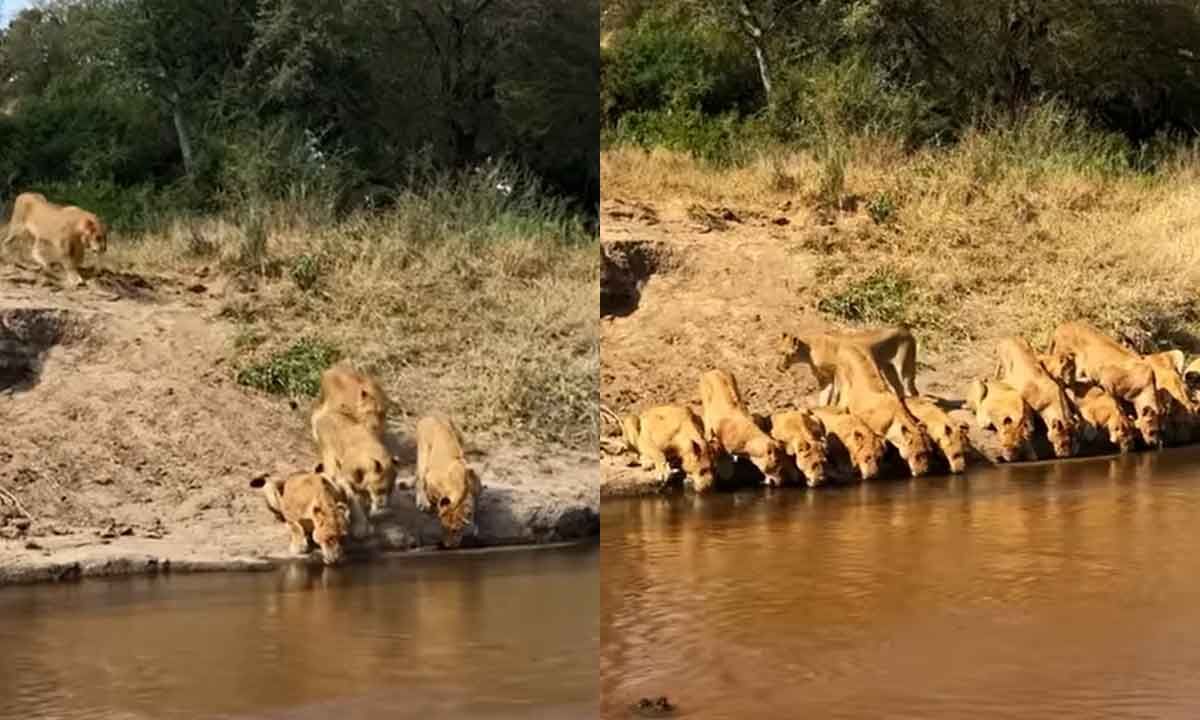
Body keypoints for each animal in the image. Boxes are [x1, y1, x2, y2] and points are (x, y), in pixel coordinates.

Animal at [314, 403, 398, 537]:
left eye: (391, 490)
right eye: (381, 489)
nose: (384, 506)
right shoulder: (345, 479)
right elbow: (354, 500)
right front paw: (360, 527)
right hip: (329, 457)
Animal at [412, 415, 482, 544]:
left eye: (455, 530)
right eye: (443, 528)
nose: (447, 545)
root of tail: (430, 415)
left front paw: (474, 526)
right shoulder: (431, 478)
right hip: (424, 452)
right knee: (420, 479)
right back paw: (423, 502)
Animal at [777, 326, 916, 405]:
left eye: (783, 353)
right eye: (779, 351)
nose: (778, 367)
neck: (808, 351)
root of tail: (907, 331)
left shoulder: (838, 371)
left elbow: (838, 394)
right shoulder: (825, 379)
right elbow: (824, 398)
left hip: (904, 369)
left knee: (912, 391)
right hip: (889, 369)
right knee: (899, 389)